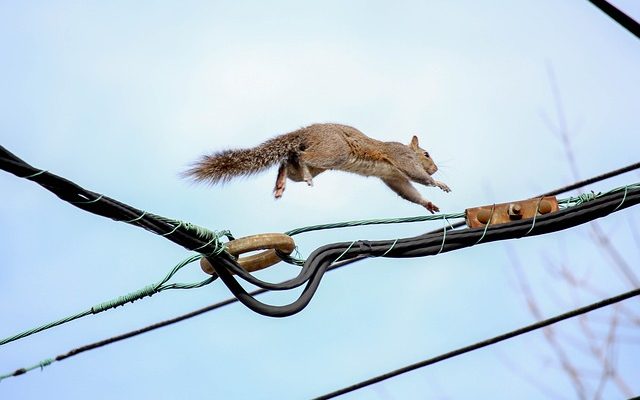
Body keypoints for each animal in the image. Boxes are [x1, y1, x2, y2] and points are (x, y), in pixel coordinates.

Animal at [185, 123, 452, 212]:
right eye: (426, 154)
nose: (435, 169)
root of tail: (306, 132)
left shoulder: (393, 176)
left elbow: (407, 191)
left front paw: (428, 204)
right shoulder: (401, 158)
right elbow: (416, 176)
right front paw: (439, 183)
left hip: (322, 159)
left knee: (288, 159)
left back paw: (281, 183)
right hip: (334, 151)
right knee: (302, 158)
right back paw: (304, 176)